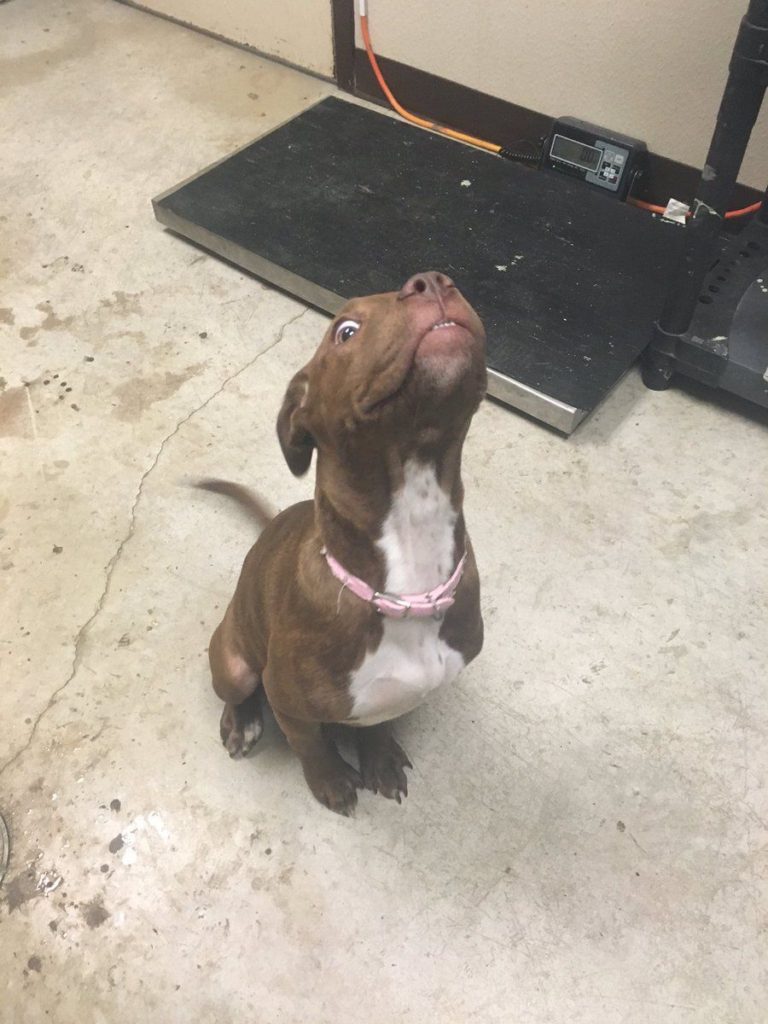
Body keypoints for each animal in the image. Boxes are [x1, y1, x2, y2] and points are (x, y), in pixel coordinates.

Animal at [198, 271, 486, 814]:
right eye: (346, 331)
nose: (431, 280)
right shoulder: (287, 699)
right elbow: (310, 745)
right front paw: (331, 781)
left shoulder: (392, 697)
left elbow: (377, 723)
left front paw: (379, 757)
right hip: (234, 661)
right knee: (235, 690)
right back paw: (240, 723)